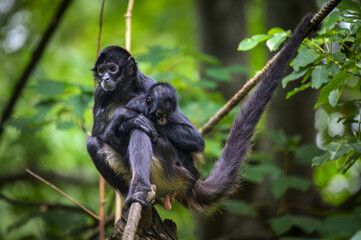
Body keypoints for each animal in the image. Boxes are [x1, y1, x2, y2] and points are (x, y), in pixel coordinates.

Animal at [87, 14, 312, 212]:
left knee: (141, 129)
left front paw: (127, 114)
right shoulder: (101, 94)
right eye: (101, 71)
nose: (105, 78)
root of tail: (189, 182)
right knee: (94, 142)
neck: (124, 92)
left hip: (174, 168)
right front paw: (124, 118)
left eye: (113, 68)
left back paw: (138, 188)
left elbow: (195, 139)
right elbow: (100, 134)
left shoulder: (147, 84)